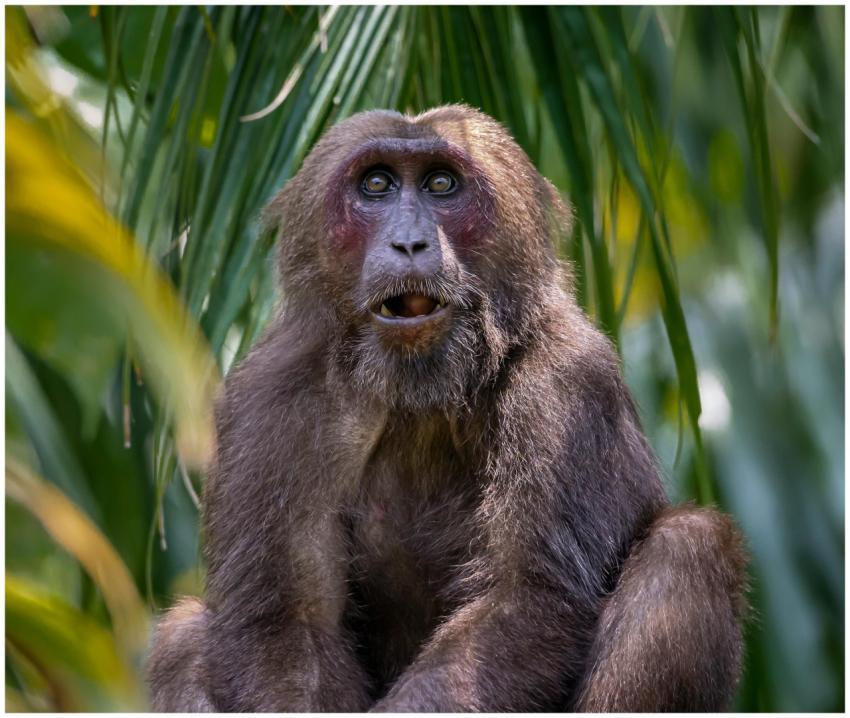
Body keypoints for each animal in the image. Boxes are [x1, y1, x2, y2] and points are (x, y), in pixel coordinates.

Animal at [147, 104, 748, 712]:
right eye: (377, 185)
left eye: (441, 185)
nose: (410, 243)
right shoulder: (272, 399)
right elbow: (288, 622)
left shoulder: (567, 382)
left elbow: (523, 599)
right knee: (183, 636)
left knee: (687, 547)